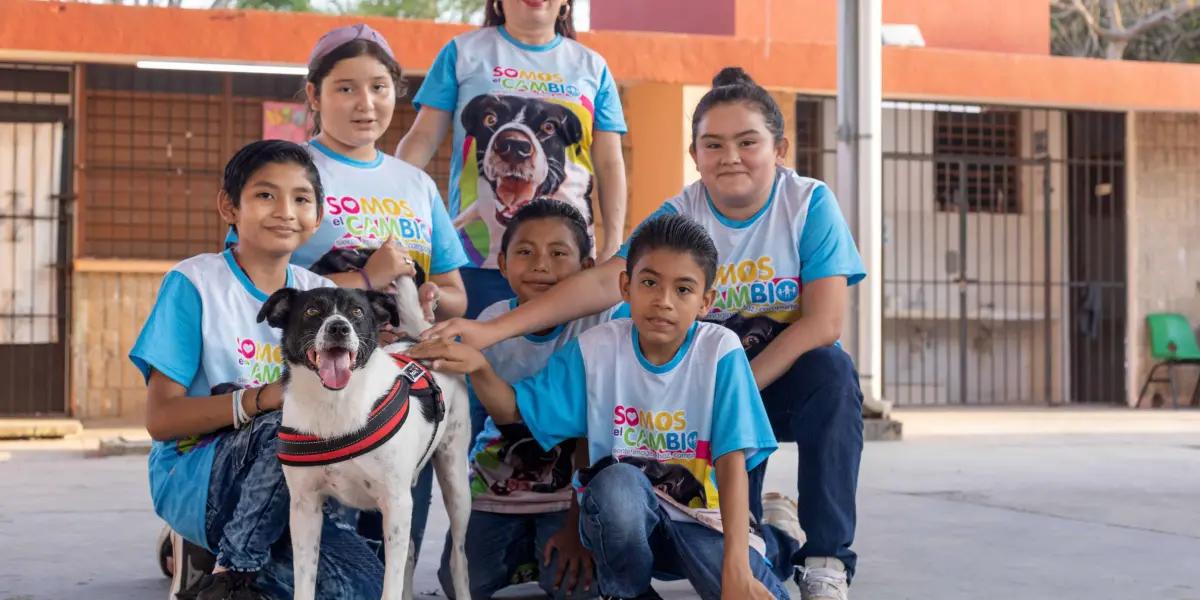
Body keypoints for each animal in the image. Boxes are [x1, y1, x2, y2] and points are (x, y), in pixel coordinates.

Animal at [256, 277, 468, 600]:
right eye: (312, 311)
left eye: (356, 312)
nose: (338, 328)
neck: (334, 405)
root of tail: (418, 339)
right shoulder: (305, 505)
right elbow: (304, 581)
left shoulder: (396, 503)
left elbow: (390, 585)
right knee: (410, 552)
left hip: (455, 482)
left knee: (458, 558)